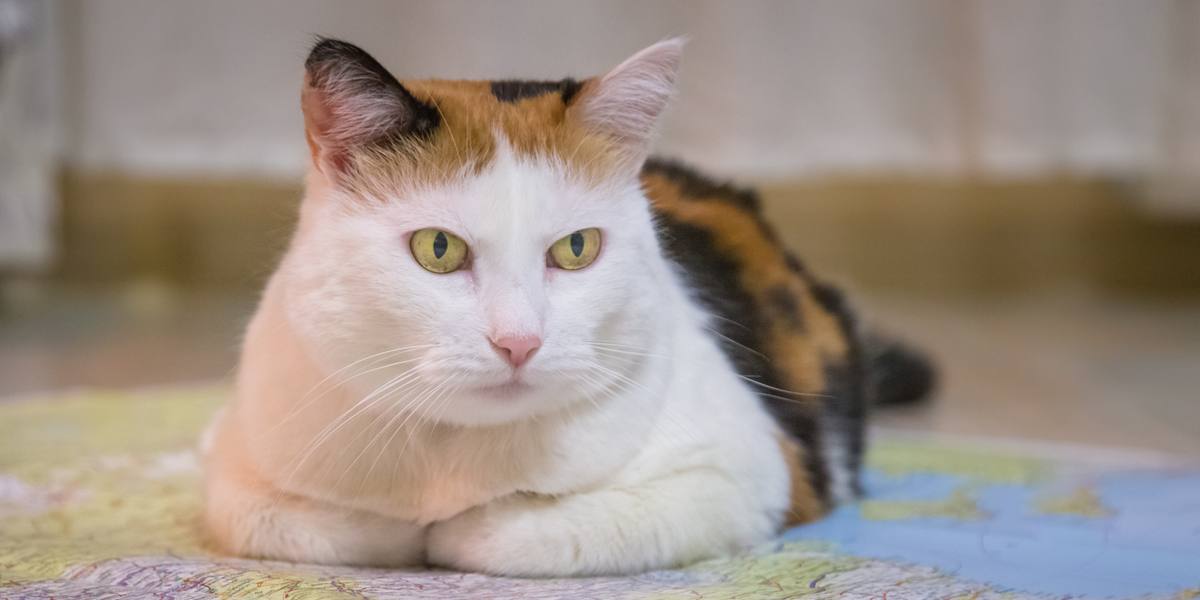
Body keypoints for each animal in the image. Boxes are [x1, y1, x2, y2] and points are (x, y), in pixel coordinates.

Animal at [201, 36, 931, 576]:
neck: (452, 457)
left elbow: (528, 532)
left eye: (577, 248)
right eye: (438, 248)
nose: (519, 341)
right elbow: (291, 521)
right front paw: (396, 527)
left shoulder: (748, 476)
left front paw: (459, 530)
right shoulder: (233, 464)